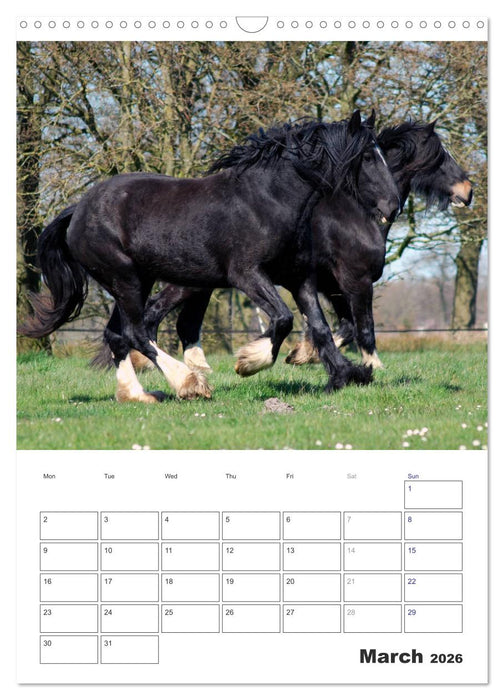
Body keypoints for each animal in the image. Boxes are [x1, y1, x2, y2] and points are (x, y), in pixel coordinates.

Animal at [20, 110, 400, 402]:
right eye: (367, 157)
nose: (393, 206)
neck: (269, 200)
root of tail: (78, 209)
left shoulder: (299, 277)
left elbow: (320, 327)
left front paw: (346, 375)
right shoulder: (247, 274)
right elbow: (282, 319)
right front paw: (248, 361)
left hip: (137, 280)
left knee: (117, 335)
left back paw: (138, 395)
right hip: (124, 278)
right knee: (137, 332)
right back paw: (189, 383)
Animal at [112, 119, 471, 374]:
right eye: (441, 156)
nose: (467, 191)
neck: (355, 214)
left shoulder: (330, 287)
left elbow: (341, 327)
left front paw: (300, 355)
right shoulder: (355, 281)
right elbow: (363, 328)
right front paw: (371, 366)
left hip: (200, 284)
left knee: (176, 321)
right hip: (191, 282)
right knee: (155, 315)